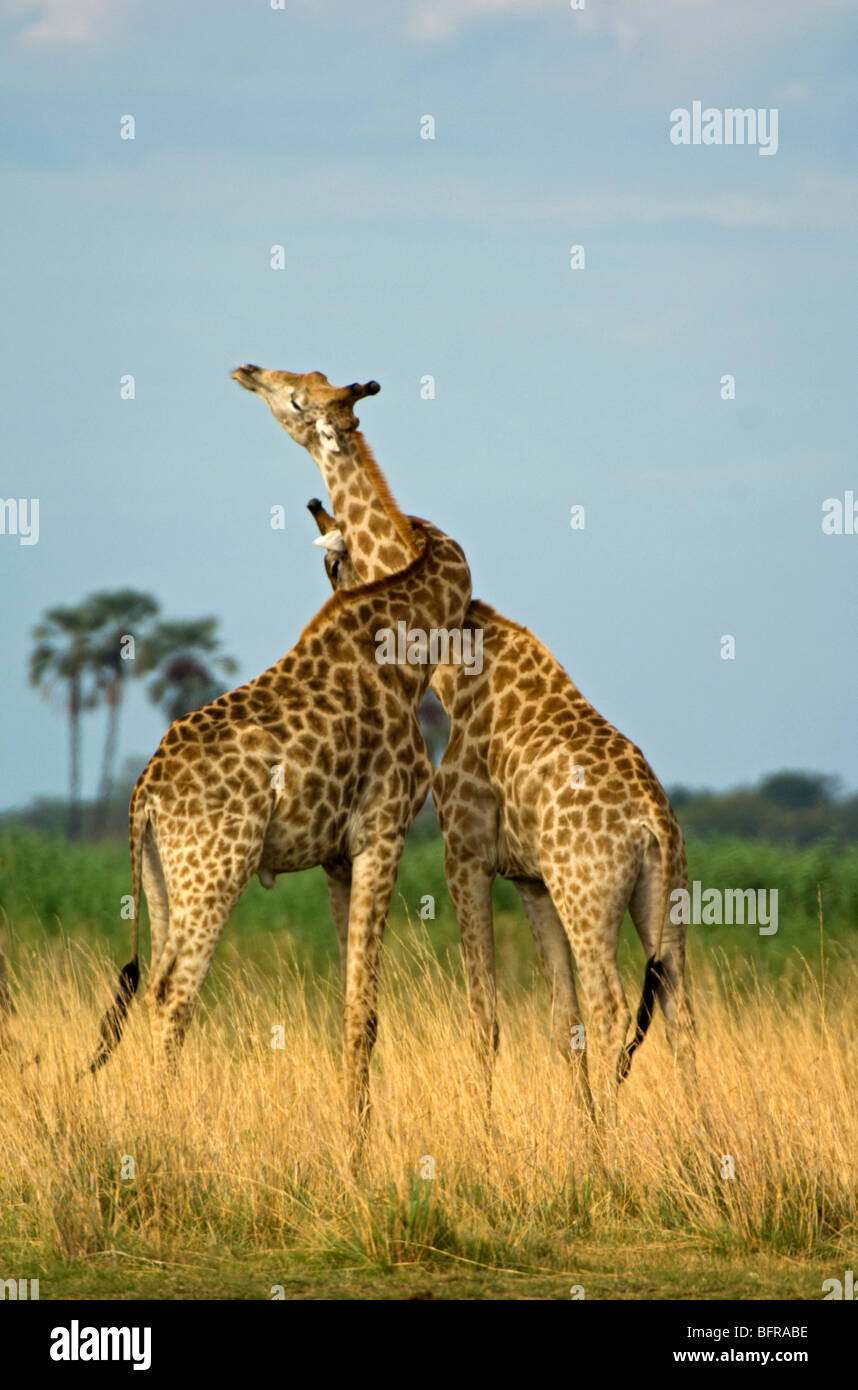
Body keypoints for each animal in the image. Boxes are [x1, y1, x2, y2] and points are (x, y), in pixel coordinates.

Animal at [91, 366, 467, 1150]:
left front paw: (355, 1137)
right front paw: (357, 1155)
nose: (246, 372)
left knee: (153, 986)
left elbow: (354, 1004)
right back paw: (162, 1140)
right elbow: (364, 1007)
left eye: (303, 391)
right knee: (174, 994)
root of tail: (143, 794)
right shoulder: (385, 828)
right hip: (215, 868)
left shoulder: (337, 853)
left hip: (163, 880)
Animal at [307, 505, 695, 1123]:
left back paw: (618, 1137)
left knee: (612, 1007)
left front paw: (487, 1129)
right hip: (665, 898)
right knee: (680, 1015)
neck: (456, 673)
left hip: (588, 899)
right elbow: (562, 1020)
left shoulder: (465, 856)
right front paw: (580, 1133)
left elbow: (484, 1015)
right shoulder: (531, 880)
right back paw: (702, 1135)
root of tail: (651, 824)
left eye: (332, 566)